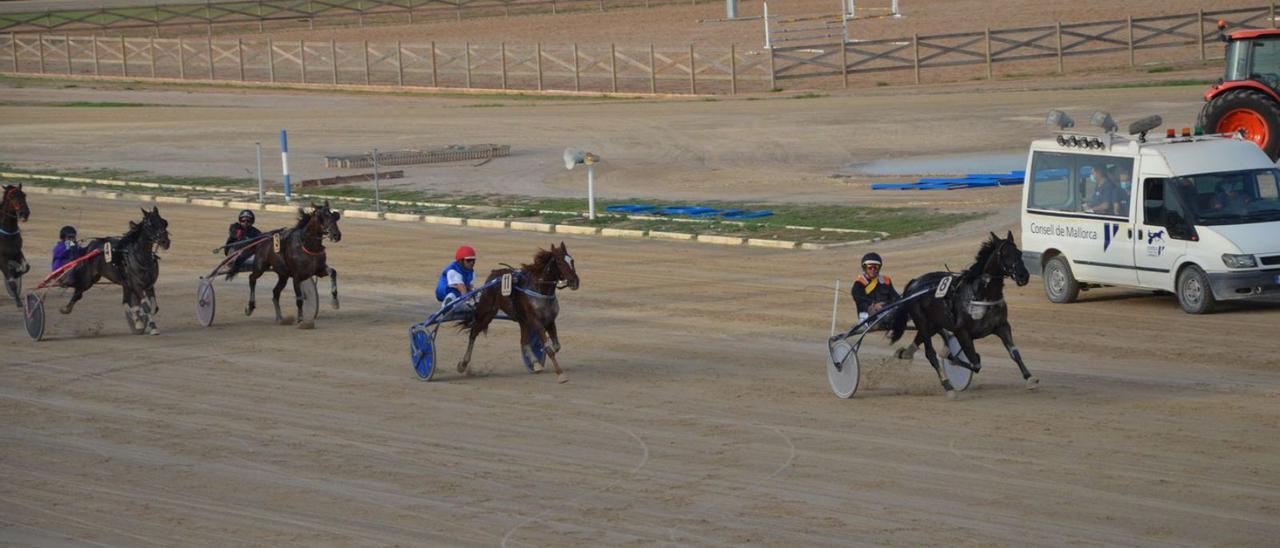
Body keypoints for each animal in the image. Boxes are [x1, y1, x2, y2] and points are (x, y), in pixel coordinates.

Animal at [61, 204, 170, 332]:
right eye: (150, 225)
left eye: (164, 222)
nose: (165, 242)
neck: (140, 257)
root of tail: (90, 246)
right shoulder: (136, 285)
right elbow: (145, 306)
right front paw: (152, 327)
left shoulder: (148, 285)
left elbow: (153, 307)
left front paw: (141, 321)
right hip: (89, 279)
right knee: (79, 291)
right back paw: (66, 308)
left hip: (122, 284)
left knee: (126, 302)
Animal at [460, 241, 581, 384]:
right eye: (560, 262)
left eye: (572, 260)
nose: (575, 281)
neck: (541, 290)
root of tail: (493, 275)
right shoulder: (536, 321)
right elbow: (549, 349)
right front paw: (561, 375)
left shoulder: (549, 320)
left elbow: (555, 346)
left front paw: (539, 360)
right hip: (486, 312)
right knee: (473, 332)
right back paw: (463, 364)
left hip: (523, 320)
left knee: (524, 341)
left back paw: (535, 363)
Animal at [890, 231, 1039, 396]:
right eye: (1006, 254)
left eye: (1019, 253)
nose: (1023, 276)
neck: (981, 294)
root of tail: (914, 282)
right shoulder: (962, 331)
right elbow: (975, 363)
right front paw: (950, 357)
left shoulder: (1002, 326)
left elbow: (1015, 353)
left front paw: (1030, 378)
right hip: (920, 319)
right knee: (930, 354)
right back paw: (947, 386)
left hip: (933, 323)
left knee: (919, 339)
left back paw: (904, 353)